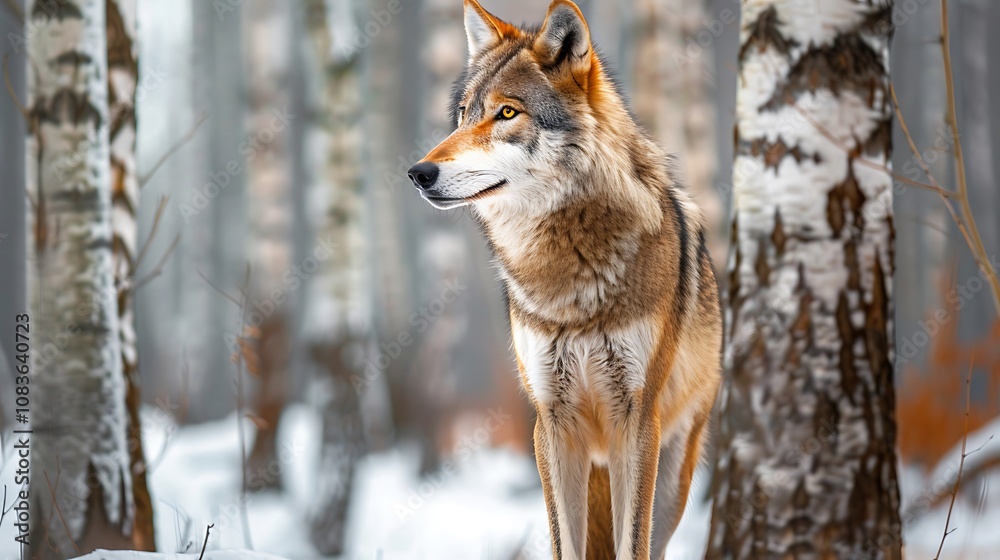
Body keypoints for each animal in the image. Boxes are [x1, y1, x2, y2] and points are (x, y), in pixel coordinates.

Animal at [407, 1, 722, 558]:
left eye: (507, 113)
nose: (419, 173)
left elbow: (631, 544)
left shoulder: (636, 421)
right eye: (464, 114)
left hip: (672, 474)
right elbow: (564, 545)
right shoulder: (550, 423)